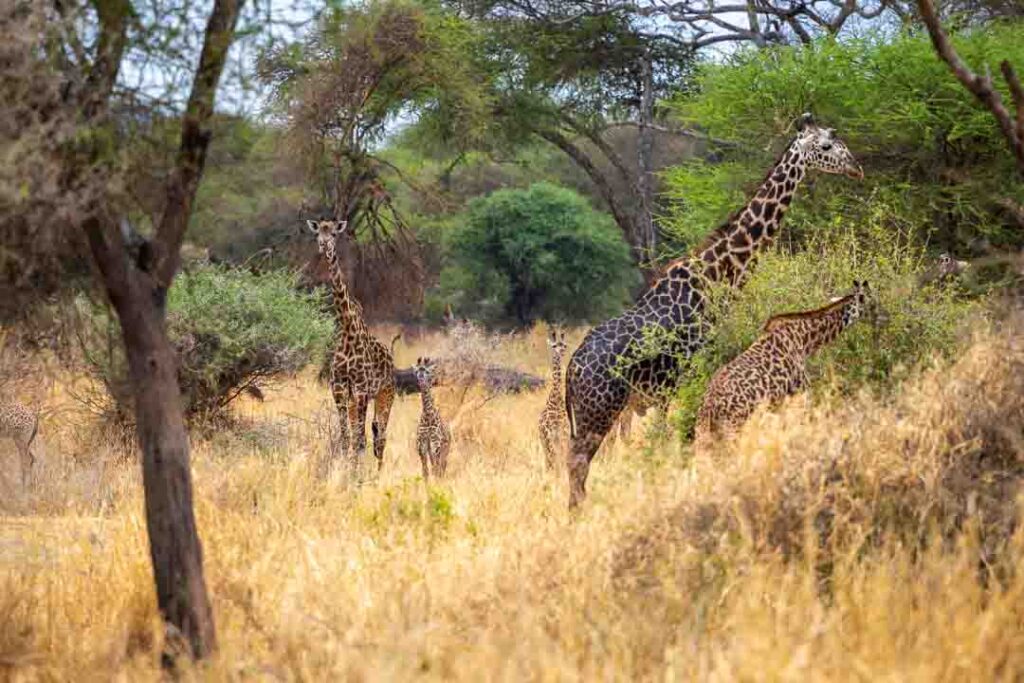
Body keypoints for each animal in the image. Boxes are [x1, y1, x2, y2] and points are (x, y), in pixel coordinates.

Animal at [307, 219, 395, 472]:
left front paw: (356, 473)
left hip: (386, 394)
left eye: (334, 234)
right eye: (317, 233)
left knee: (380, 436)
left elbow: (359, 438)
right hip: (356, 399)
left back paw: (377, 473)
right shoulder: (339, 388)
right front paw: (346, 469)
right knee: (368, 435)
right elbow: (347, 437)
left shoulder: (362, 389)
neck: (347, 329)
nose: (323, 246)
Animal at [694, 281, 880, 454]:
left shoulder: (780, 403)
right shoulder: (801, 392)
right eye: (873, 303)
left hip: (705, 433)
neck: (805, 338)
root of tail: (710, 406)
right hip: (734, 430)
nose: (883, 318)